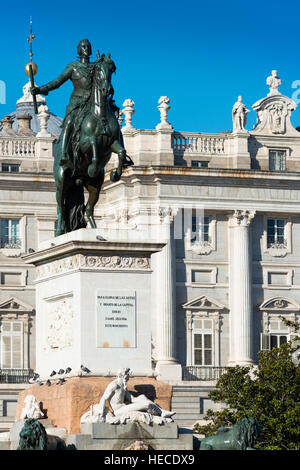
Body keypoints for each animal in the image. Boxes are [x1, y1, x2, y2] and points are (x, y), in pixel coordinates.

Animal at [54, 53, 134, 237]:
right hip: (62, 180)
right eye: (97, 70)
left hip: (94, 187)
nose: (107, 90)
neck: (100, 114)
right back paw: (60, 230)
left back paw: (95, 228)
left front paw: (116, 174)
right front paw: (92, 167)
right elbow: (94, 148)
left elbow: (121, 152)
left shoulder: (112, 143)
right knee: (61, 205)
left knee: (88, 208)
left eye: (112, 69)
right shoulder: (85, 143)